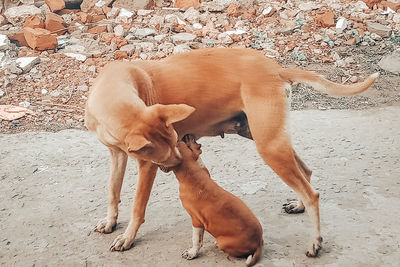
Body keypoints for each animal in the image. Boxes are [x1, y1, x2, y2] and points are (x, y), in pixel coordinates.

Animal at [174, 137, 262, 266]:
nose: (187, 137)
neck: (194, 176)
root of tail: (260, 243)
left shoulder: (196, 221)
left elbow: (196, 240)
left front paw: (191, 253)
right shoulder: (203, 168)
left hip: (223, 242)